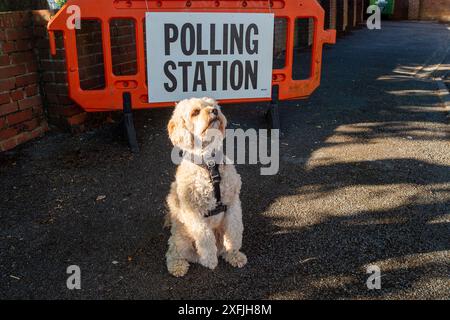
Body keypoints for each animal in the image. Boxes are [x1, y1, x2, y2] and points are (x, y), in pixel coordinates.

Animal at [167, 96, 248, 276]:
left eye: (213, 105)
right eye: (195, 112)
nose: (214, 111)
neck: (210, 166)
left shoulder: (232, 203)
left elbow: (235, 229)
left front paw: (234, 251)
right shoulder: (193, 213)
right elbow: (204, 237)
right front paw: (209, 260)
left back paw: (229, 254)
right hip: (181, 237)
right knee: (174, 250)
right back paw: (178, 265)